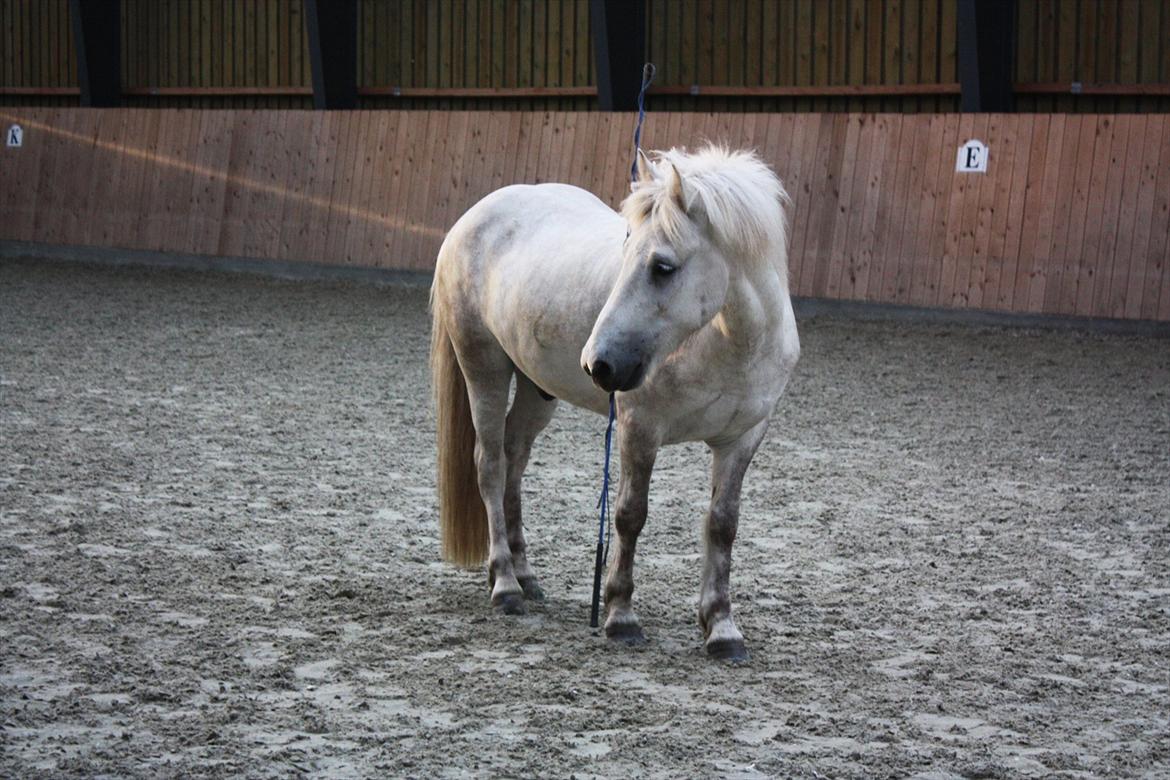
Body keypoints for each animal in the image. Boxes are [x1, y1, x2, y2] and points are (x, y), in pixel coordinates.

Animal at [435, 145, 800, 659]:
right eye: (624, 252)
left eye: (662, 266)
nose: (598, 364)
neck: (728, 343)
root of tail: (475, 215)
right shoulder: (639, 430)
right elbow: (630, 516)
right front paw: (620, 615)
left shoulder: (741, 440)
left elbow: (722, 524)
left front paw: (721, 627)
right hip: (483, 369)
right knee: (489, 465)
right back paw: (505, 585)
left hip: (536, 390)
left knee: (514, 459)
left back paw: (524, 575)